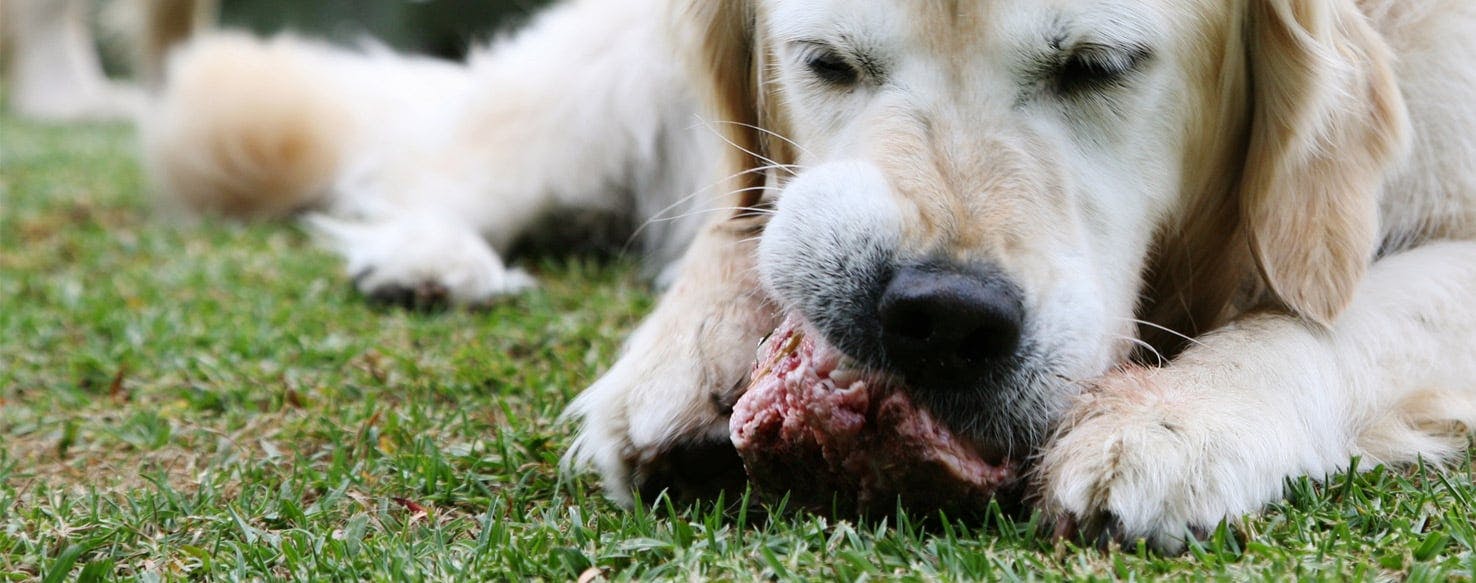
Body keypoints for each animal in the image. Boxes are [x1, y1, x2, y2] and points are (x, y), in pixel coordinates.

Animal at [140, 0, 1476, 552]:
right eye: (827, 62)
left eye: (1100, 66)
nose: (937, 318)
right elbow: (751, 225)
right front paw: (685, 352)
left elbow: (1334, 317)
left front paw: (1181, 414)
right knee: (453, 156)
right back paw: (428, 254)